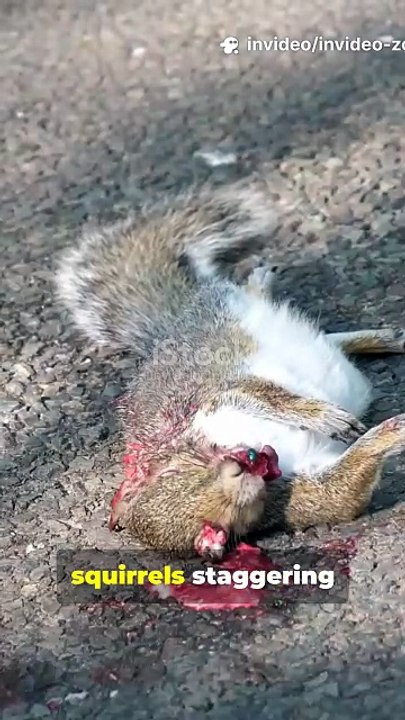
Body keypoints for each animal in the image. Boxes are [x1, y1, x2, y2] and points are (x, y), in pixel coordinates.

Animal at [56, 178, 405, 559]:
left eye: (176, 472)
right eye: (221, 525)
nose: (240, 462)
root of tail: (169, 330)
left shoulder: (212, 410)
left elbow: (257, 396)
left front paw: (322, 416)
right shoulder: (291, 494)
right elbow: (342, 491)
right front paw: (392, 432)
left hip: (222, 313)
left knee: (254, 303)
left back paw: (264, 280)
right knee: (332, 342)